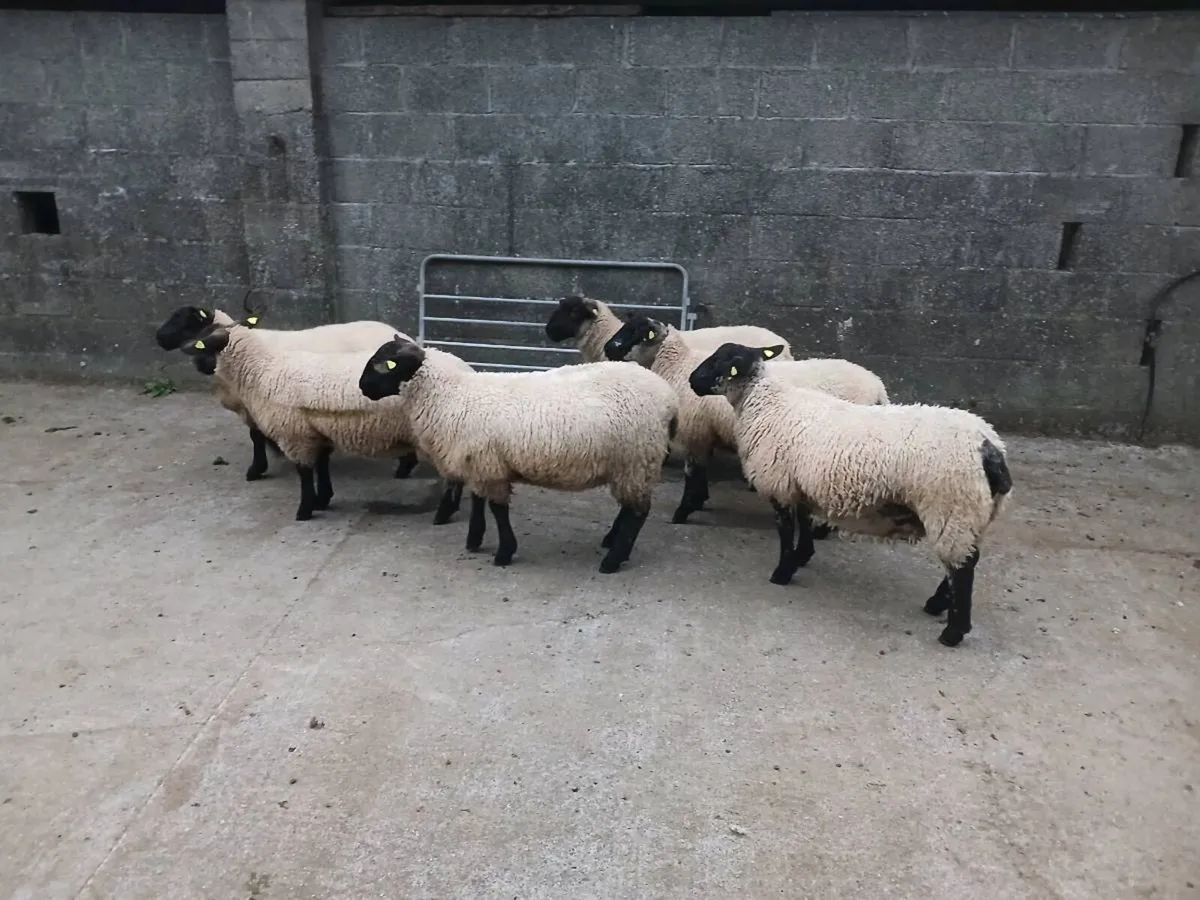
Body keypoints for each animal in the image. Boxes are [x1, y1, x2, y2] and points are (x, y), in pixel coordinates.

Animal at [155, 304, 421, 482]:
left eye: (187, 321)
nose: (159, 338)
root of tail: (403, 336)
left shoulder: (256, 404)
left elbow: (256, 436)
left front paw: (257, 468)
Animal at [176, 315, 469, 525]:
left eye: (204, 341)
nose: (194, 361)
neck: (261, 368)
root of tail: (464, 367)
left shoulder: (293, 434)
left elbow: (305, 473)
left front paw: (305, 509)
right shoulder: (315, 430)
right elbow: (321, 466)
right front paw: (323, 499)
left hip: (443, 435)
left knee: (454, 476)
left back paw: (443, 513)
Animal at [357, 334, 680, 574]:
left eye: (384, 365)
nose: (361, 387)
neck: (450, 395)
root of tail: (669, 399)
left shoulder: (489, 466)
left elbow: (498, 510)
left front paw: (503, 553)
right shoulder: (481, 463)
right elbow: (478, 502)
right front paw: (474, 539)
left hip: (637, 457)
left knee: (638, 512)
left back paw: (612, 560)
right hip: (631, 463)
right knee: (629, 508)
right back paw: (611, 541)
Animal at [603, 311, 890, 528]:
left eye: (637, 332)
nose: (607, 348)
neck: (677, 365)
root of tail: (878, 387)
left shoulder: (697, 433)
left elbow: (692, 474)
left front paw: (684, 511)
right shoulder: (706, 433)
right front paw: (699, 501)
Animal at [689, 341, 1013, 648]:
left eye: (720, 361)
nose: (692, 380)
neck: (765, 401)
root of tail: (990, 448)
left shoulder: (779, 483)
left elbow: (785, 531)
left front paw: (782, 572)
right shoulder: (801, 484)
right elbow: (804, 522)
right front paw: (802, 556)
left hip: (951, 506)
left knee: (962, 567)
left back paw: (953, 632)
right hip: (974, 513)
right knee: (966, 558)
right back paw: (937, 604)